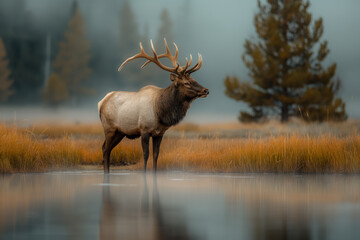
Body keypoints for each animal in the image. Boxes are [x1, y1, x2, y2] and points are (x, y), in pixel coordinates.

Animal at [98, 39, 210, 172]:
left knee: (106, 148)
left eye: (194, 79)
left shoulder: (160, 133)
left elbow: (156, 155)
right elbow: (146, 155)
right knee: (105, 149)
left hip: (120, 132)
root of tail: (101, 102)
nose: (206, 90)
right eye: (186, 83)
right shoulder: (144, 130)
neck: (161, 112)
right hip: (109, 127)